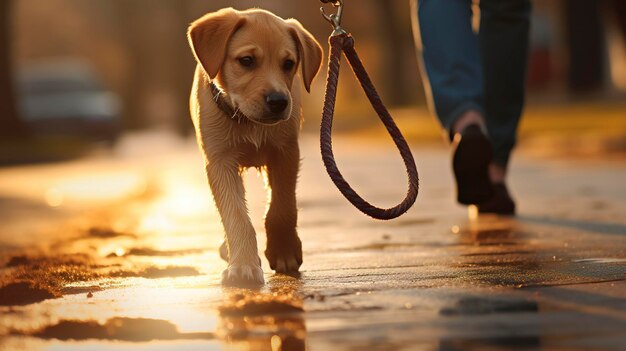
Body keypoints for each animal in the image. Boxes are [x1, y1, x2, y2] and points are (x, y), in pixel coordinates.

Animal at [185, 8, 322, 286]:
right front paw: (243, 265)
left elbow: (282, 208)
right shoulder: (220, 162)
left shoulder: (286, 152)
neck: (248, 122)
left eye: (288, 64)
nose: (279, 101)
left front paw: (283, 251)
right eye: (246, 60)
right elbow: (236, 216)